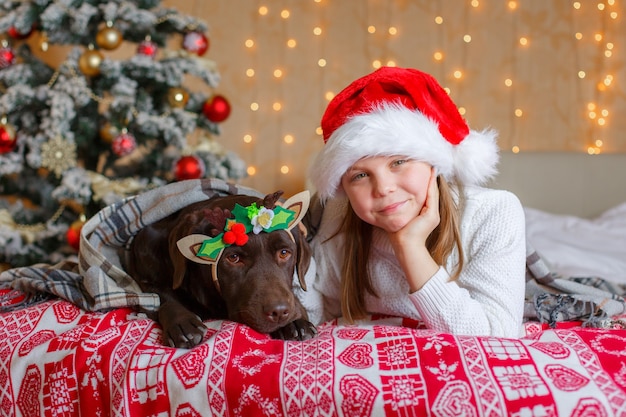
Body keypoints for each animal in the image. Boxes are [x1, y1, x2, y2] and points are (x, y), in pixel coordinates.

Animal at [125, 190, 314, 346]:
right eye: (233, 258)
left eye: (284, 253)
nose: (279, 312)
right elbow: (160, 295)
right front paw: (181, 321)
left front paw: (295, 322)